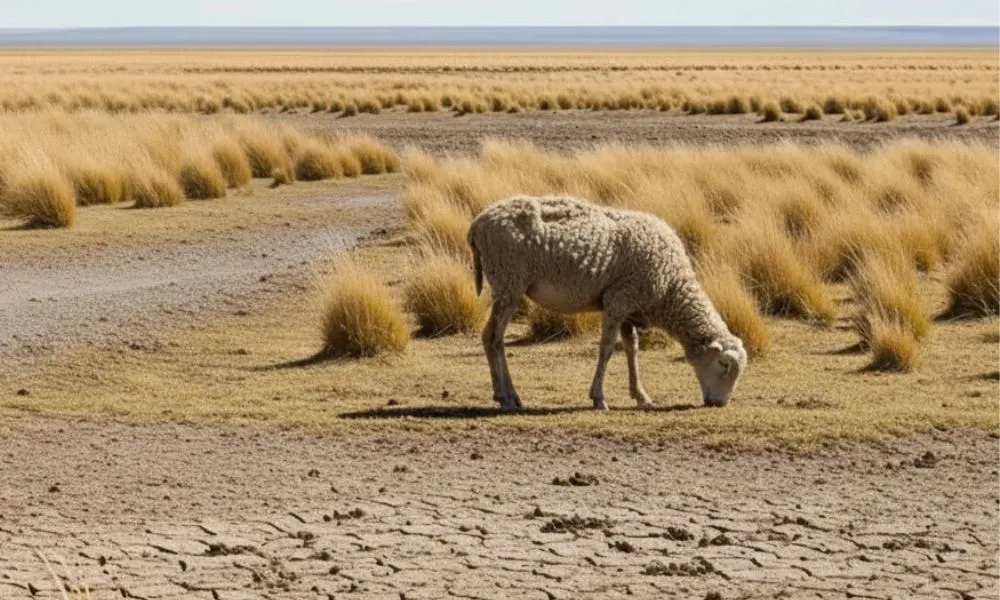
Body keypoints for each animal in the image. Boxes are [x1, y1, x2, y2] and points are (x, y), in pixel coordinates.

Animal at [467, 194, 747, 411]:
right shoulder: (618, 300)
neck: (670, 288)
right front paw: (599, 398)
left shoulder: (628, 306)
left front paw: (641, 396)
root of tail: (478, 222)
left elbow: (632, 348)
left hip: (508, 284)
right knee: (492, 337)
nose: (720, 403)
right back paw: (505, 398)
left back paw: (509, 396)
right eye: (724, 365)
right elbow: (608, 348)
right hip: (508, 281)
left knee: (495, 338)